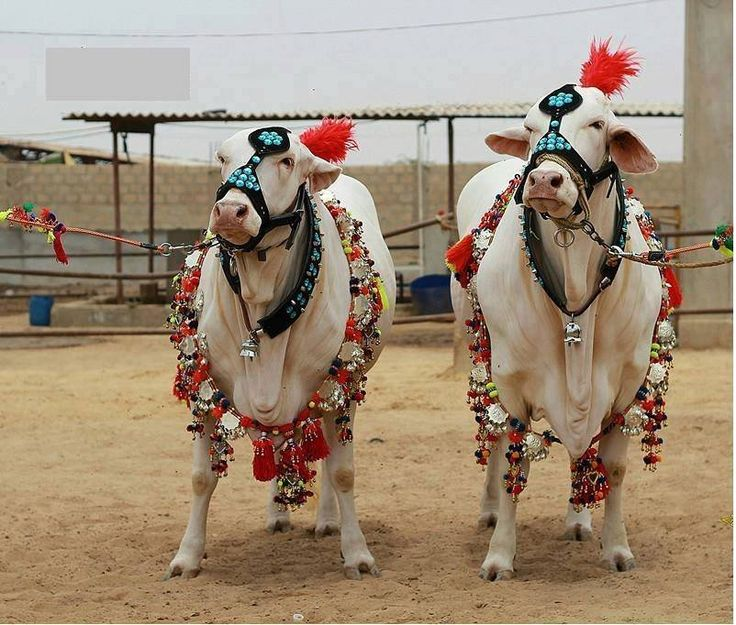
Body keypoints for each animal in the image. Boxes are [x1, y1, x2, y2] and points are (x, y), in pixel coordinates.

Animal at [166, 120, 396, 580]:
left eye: (287, 160)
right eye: (222, 157)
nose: (230, 211)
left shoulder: (339, 390)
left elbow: (342, 471)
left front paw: (357, 554)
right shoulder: (204, 392)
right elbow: (201, 477)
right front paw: (187, 557)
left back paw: (326, 521)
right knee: (275, 443)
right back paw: (277, 514)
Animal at [449, 40, 675, 580]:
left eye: (597, 124)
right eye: (530, 127)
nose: (546, 179)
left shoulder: (626, 387)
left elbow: (613, 467)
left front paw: (617, 548)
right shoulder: (510, 385)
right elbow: (513, 462)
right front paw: (499, 556)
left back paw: (577, 520)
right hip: (477, 352)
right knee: (491, 442)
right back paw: (489, 512)